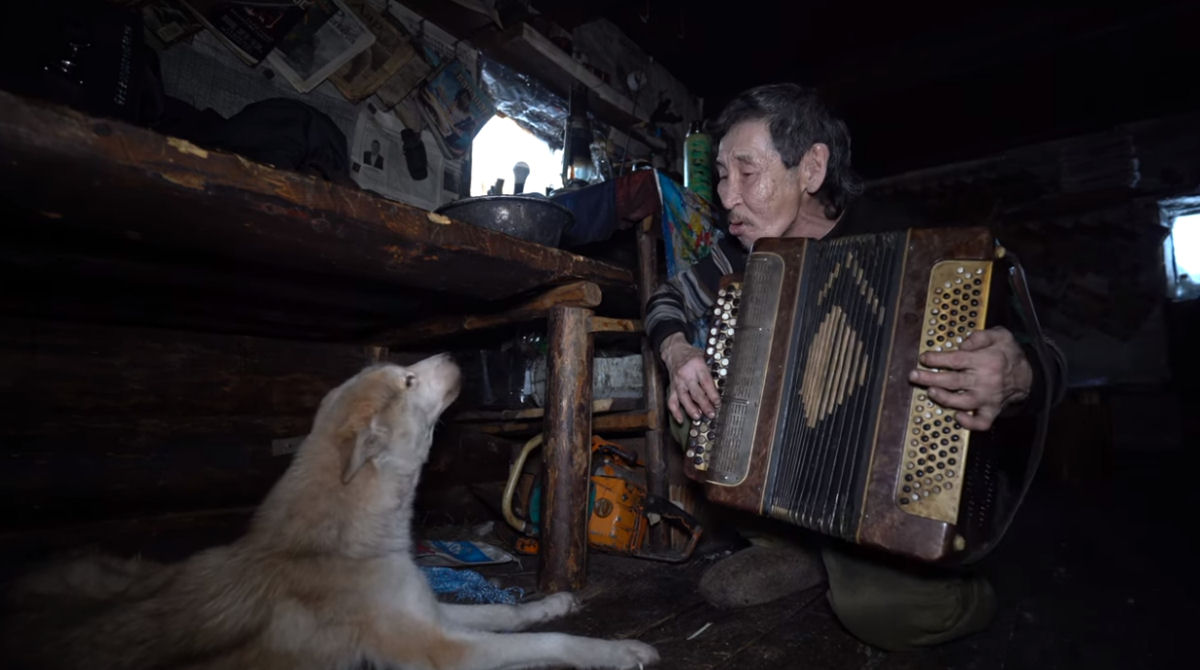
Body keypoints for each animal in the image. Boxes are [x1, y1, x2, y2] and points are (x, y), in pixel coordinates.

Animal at [0, 355, 657, 667]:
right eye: (409, 380)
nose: (457, 354)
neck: (348, 539)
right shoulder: (436, 648)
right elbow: (546, 644)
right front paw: (618, 652)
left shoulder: (427, 612)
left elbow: (511, 614)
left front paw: (553, 601)